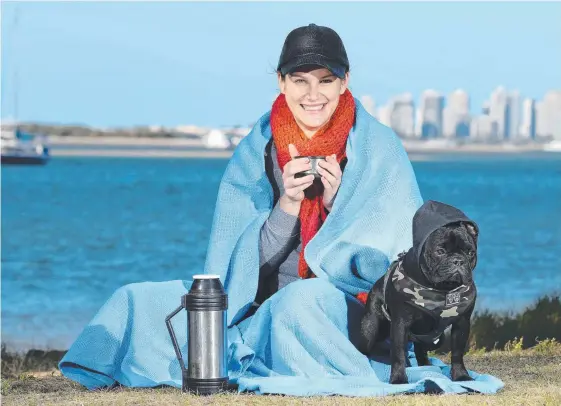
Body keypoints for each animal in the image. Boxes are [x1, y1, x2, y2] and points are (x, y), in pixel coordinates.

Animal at [358, 201, 476, 386]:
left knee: (421, 350)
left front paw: (461, 376)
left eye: (470, 252)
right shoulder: (400, 324)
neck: (443, 290)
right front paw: (398, 379)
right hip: (369, 329)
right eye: (440, 252)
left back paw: (426, 366)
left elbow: (457, 353)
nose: (458, 260)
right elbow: (398, 353)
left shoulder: (462, 323)